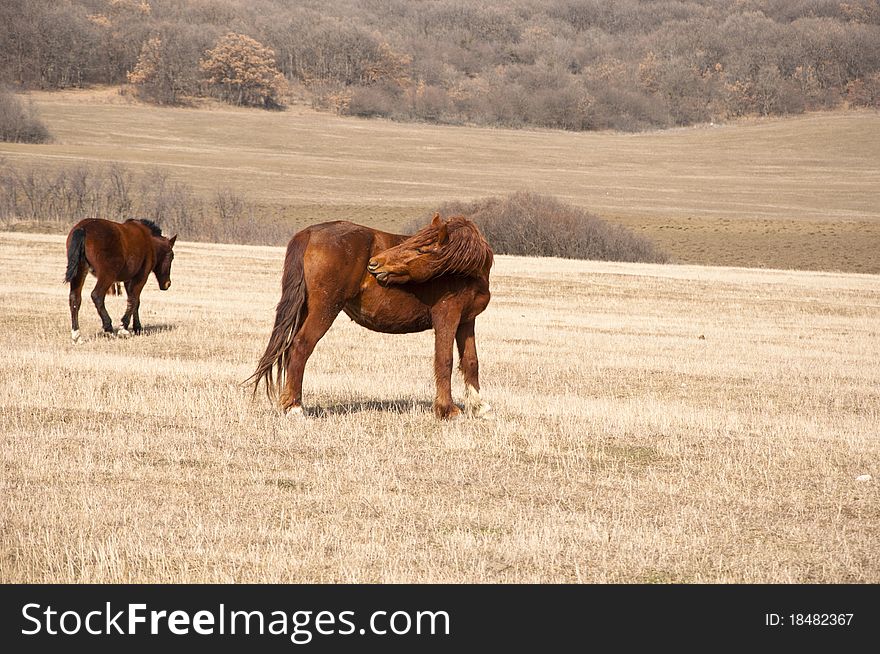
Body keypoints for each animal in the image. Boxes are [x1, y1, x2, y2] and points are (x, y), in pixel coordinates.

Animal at [251, 215, 492, 420]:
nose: (375, 264)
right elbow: (445, 360)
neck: (461, 273)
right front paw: (447, 410)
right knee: (300, 347)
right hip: (324, 310)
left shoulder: (466, 321)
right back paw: (295, 408)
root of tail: (310, 233)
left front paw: (479, 407)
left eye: (421, 248)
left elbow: (471, 361)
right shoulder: (446, 318)